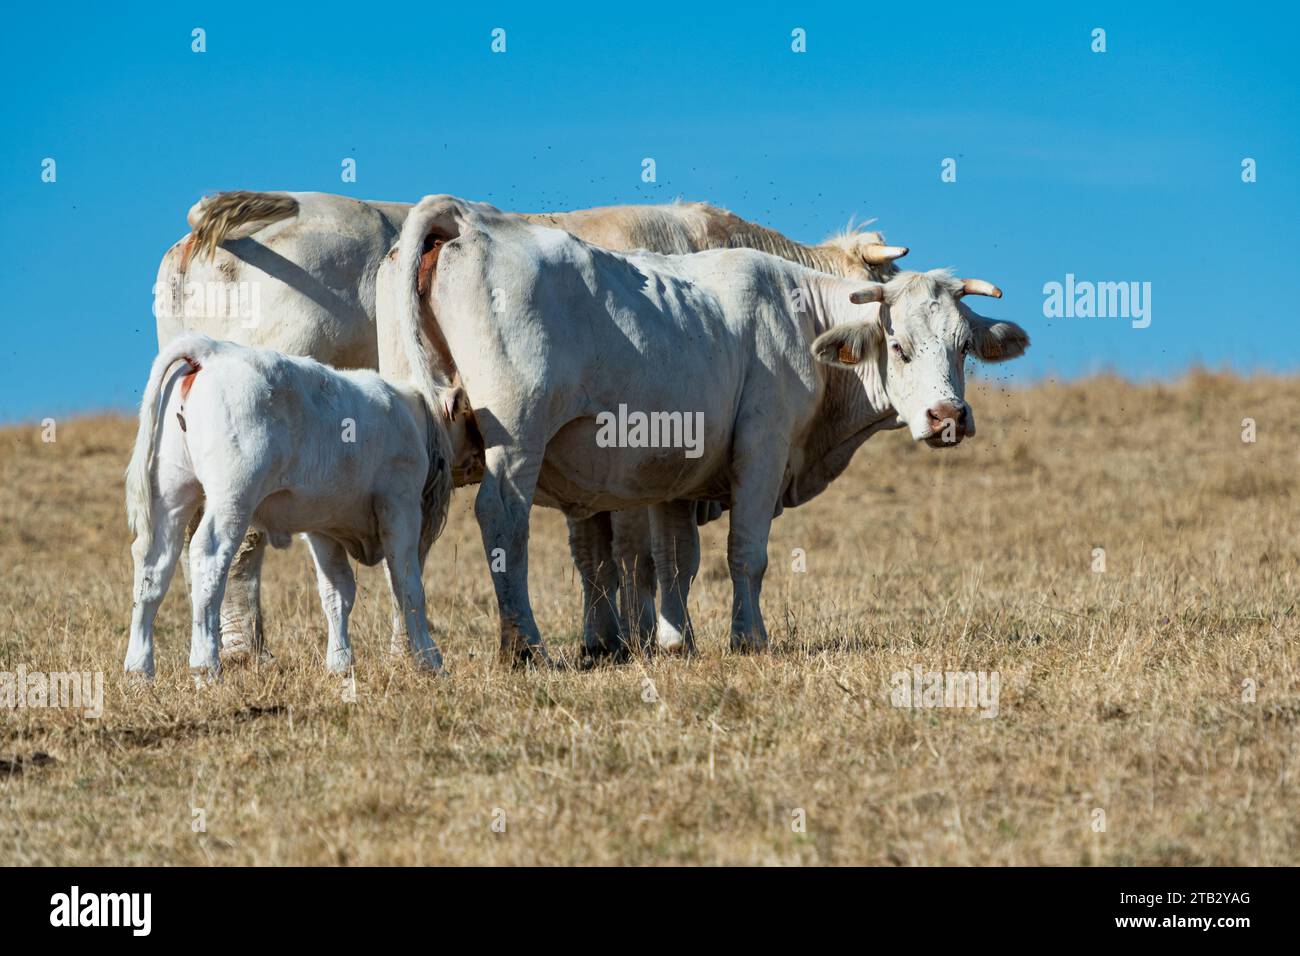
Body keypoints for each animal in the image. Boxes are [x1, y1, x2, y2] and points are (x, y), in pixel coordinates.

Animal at [122, 335, 457, 681]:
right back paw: (205, 666)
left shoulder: (325, 527)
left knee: (153, 566)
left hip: (172, 490)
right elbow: (408, 585)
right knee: (208, 555)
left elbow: (338, 592)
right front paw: (430, 659)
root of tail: (211, 349)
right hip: (233, 494)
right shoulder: (400, 505)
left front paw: (340, 663)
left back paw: (139, 670)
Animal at [384, 197, 1024, 660]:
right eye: (899, 346)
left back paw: (409, 650)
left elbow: (676, 559)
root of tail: (465, 216)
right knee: (502, 522)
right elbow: (745, 554)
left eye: (964, 346)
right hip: (516, 440)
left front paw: (677, 641)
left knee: (410, 533)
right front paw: (748, 637)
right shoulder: (762, 450)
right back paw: (523, 646)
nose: (948, 417)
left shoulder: (677, 473)